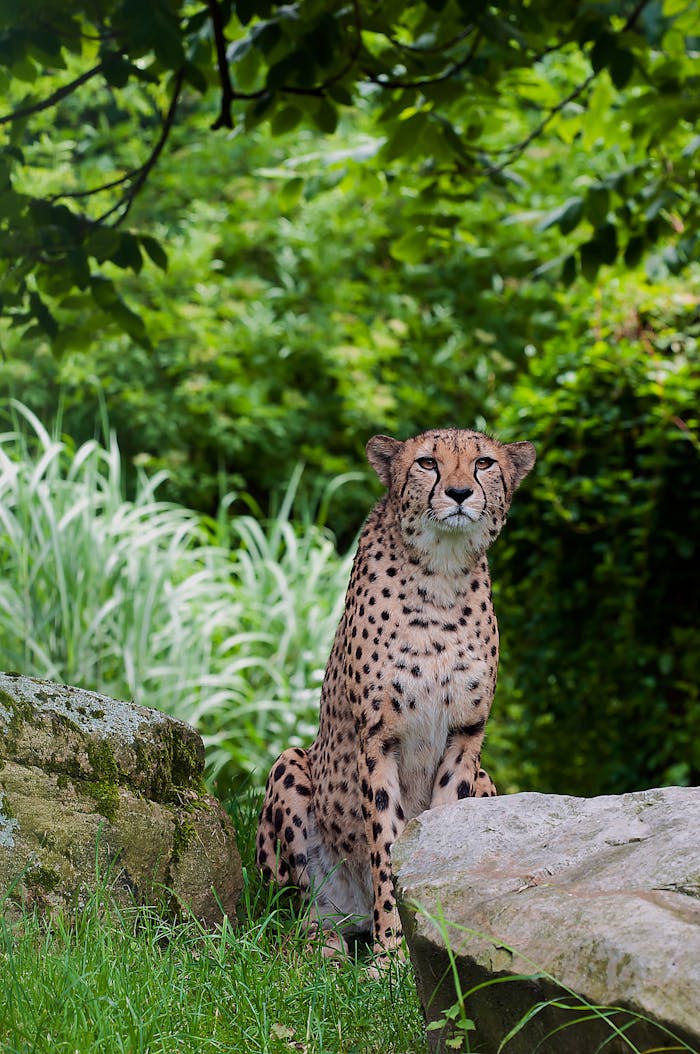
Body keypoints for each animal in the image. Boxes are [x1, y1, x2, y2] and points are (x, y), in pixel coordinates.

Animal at [256, 427, 536, 962]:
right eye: (427, 463)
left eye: (484, 463)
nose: (459, 493)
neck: (442, 575)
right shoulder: (378, 738)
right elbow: (387, 844)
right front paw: (393, 956)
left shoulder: (465, 735)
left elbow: (440, 836)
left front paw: (434, 935)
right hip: (292, 767)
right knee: (296, 914)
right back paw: (326, 944)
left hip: (487, 779)